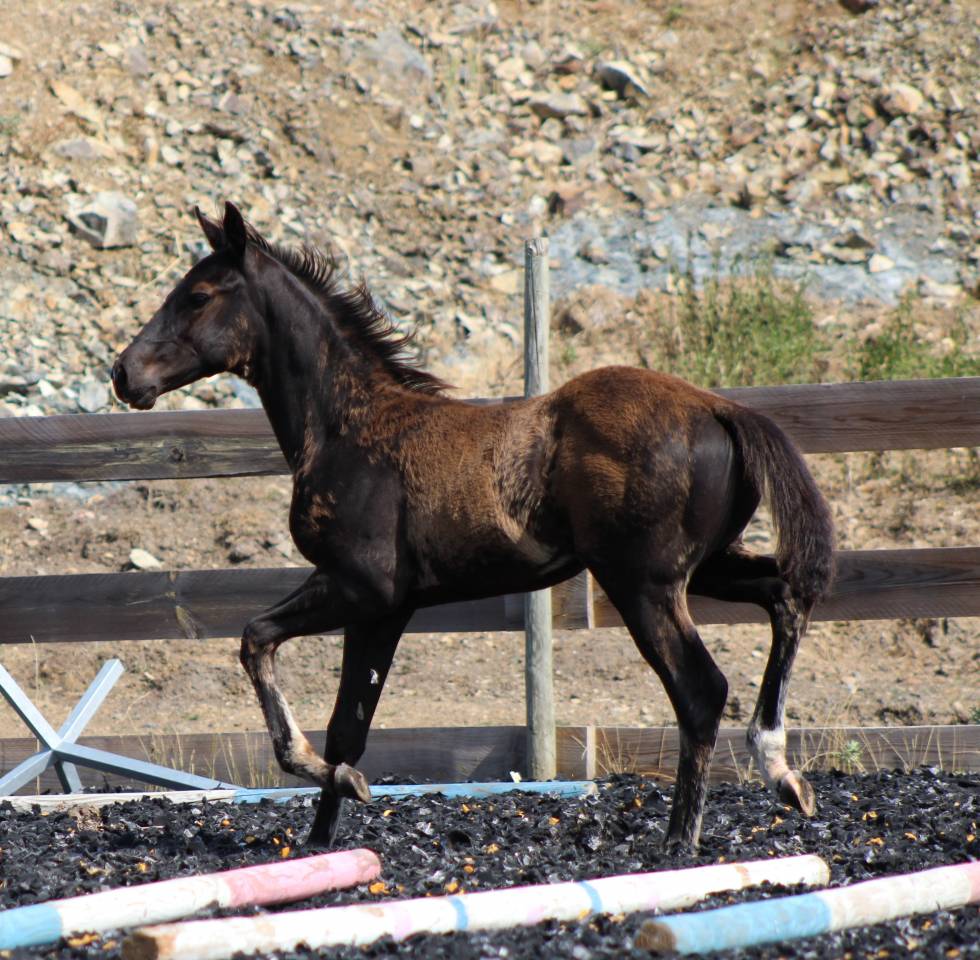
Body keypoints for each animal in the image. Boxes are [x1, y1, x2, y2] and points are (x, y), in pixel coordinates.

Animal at [111, 201, 835, 851]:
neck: (348, 428)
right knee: (783, 596)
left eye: (198, 295)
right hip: (705, 566)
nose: (124, 373)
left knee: (701, 689)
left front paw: (327, 780)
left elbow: (257, 641)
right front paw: (326, 829)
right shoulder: (388, 609)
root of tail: (720, 409)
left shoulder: (359, 588)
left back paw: (679, 842)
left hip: (643, 582)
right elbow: (350, 727)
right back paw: (782, 772)